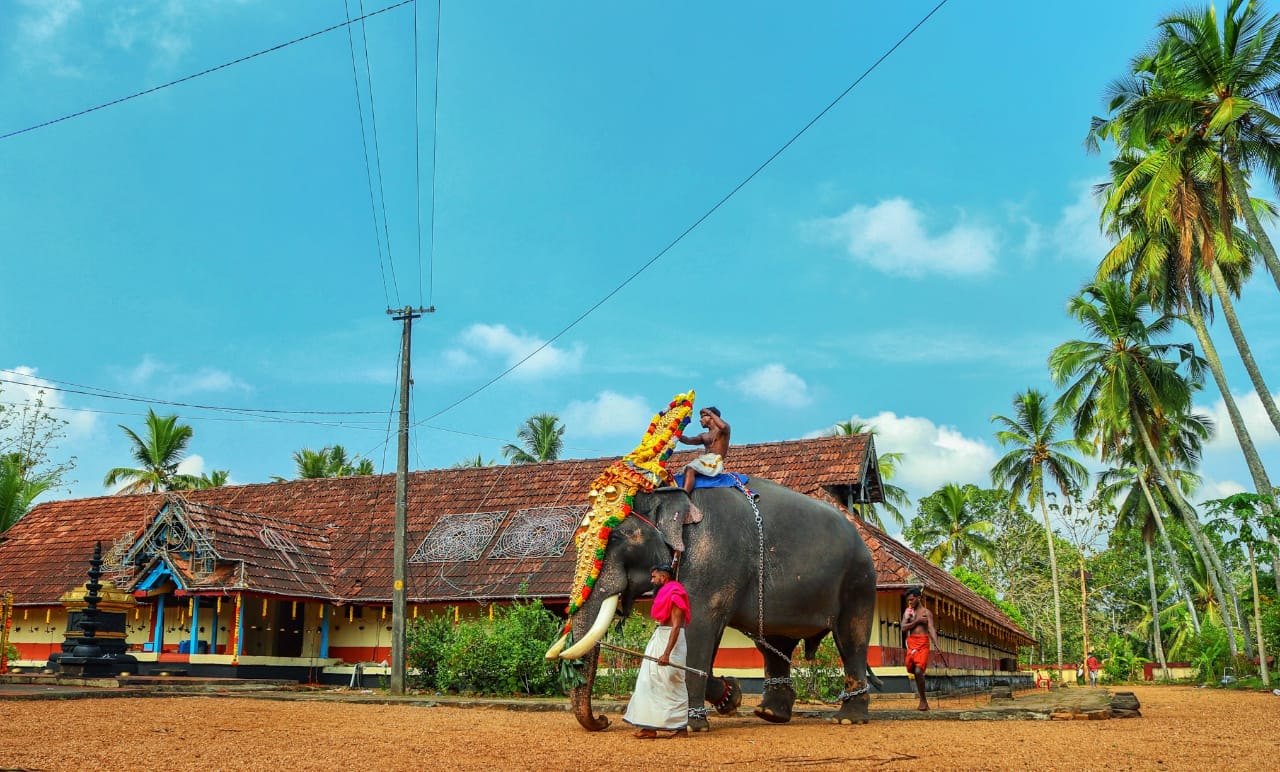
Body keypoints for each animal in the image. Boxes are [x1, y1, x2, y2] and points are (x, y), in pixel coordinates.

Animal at [540, 396, 880, 732]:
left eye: (616, 538)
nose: (603, 720)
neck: (669, 489)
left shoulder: (714, 553)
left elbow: (698, 624)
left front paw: (692, 724)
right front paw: (731, 695)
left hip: (860, 580)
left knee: (851, 638)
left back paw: (848, 717)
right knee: (774, 642)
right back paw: (771, 714)